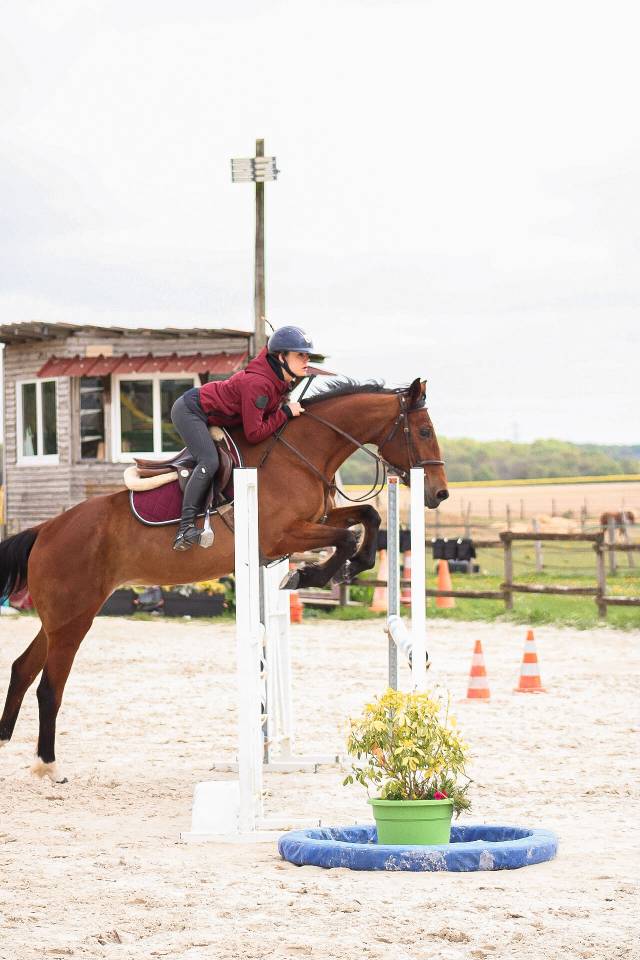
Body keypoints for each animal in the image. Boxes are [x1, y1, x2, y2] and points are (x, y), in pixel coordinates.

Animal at [0, 377, 448, 781]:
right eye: (425, 430)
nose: (440, 494)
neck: (301, 453)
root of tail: (45, 530)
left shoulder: (315, 520)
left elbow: (366, 517)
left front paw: (350, 566)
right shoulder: (282, 535)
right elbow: (347, 536)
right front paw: (309, 574)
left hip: (62, 618)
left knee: (22, 668)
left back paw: (6, 742)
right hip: (72, 619)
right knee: (48, 687)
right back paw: (48, 765)